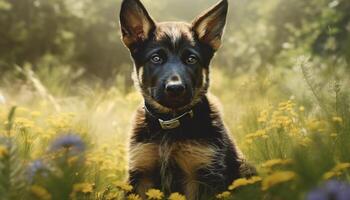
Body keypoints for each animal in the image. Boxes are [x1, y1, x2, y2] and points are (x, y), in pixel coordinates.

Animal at [119, 0, 254, 199]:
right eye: (156, 58)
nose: (175, 88)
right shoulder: (141, 174)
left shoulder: (201, 174)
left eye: (191, 59)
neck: (170, 124)